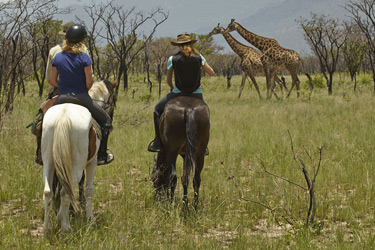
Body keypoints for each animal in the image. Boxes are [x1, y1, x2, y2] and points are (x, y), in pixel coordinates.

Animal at [41, 80, 114, 234]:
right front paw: (90, 218)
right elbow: (89, 190)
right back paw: (65, 228)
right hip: (76, 165)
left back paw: (47, 229)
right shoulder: (92, 163)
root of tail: (63, 117)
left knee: (49, 191)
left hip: (49, 161)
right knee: (65, 191)